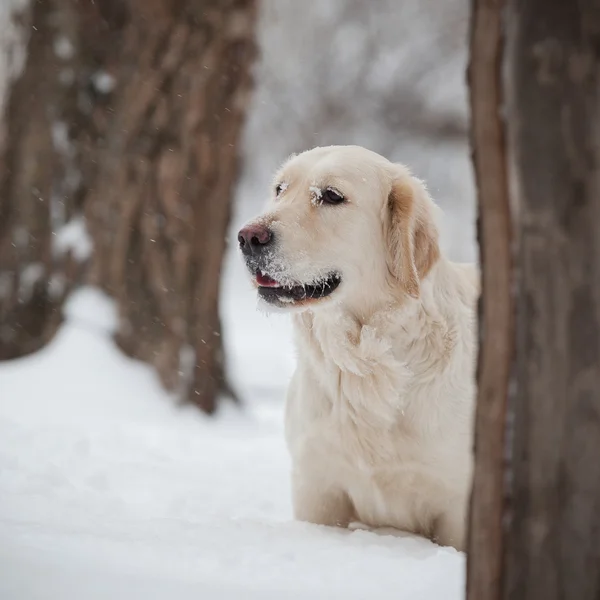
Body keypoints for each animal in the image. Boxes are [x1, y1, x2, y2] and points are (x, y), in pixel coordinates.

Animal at [237, 144, 476, 548]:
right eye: (280, 189)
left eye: (332, 196)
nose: (248, 237)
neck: (366, 362)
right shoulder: (316, 488)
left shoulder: (458, 505)